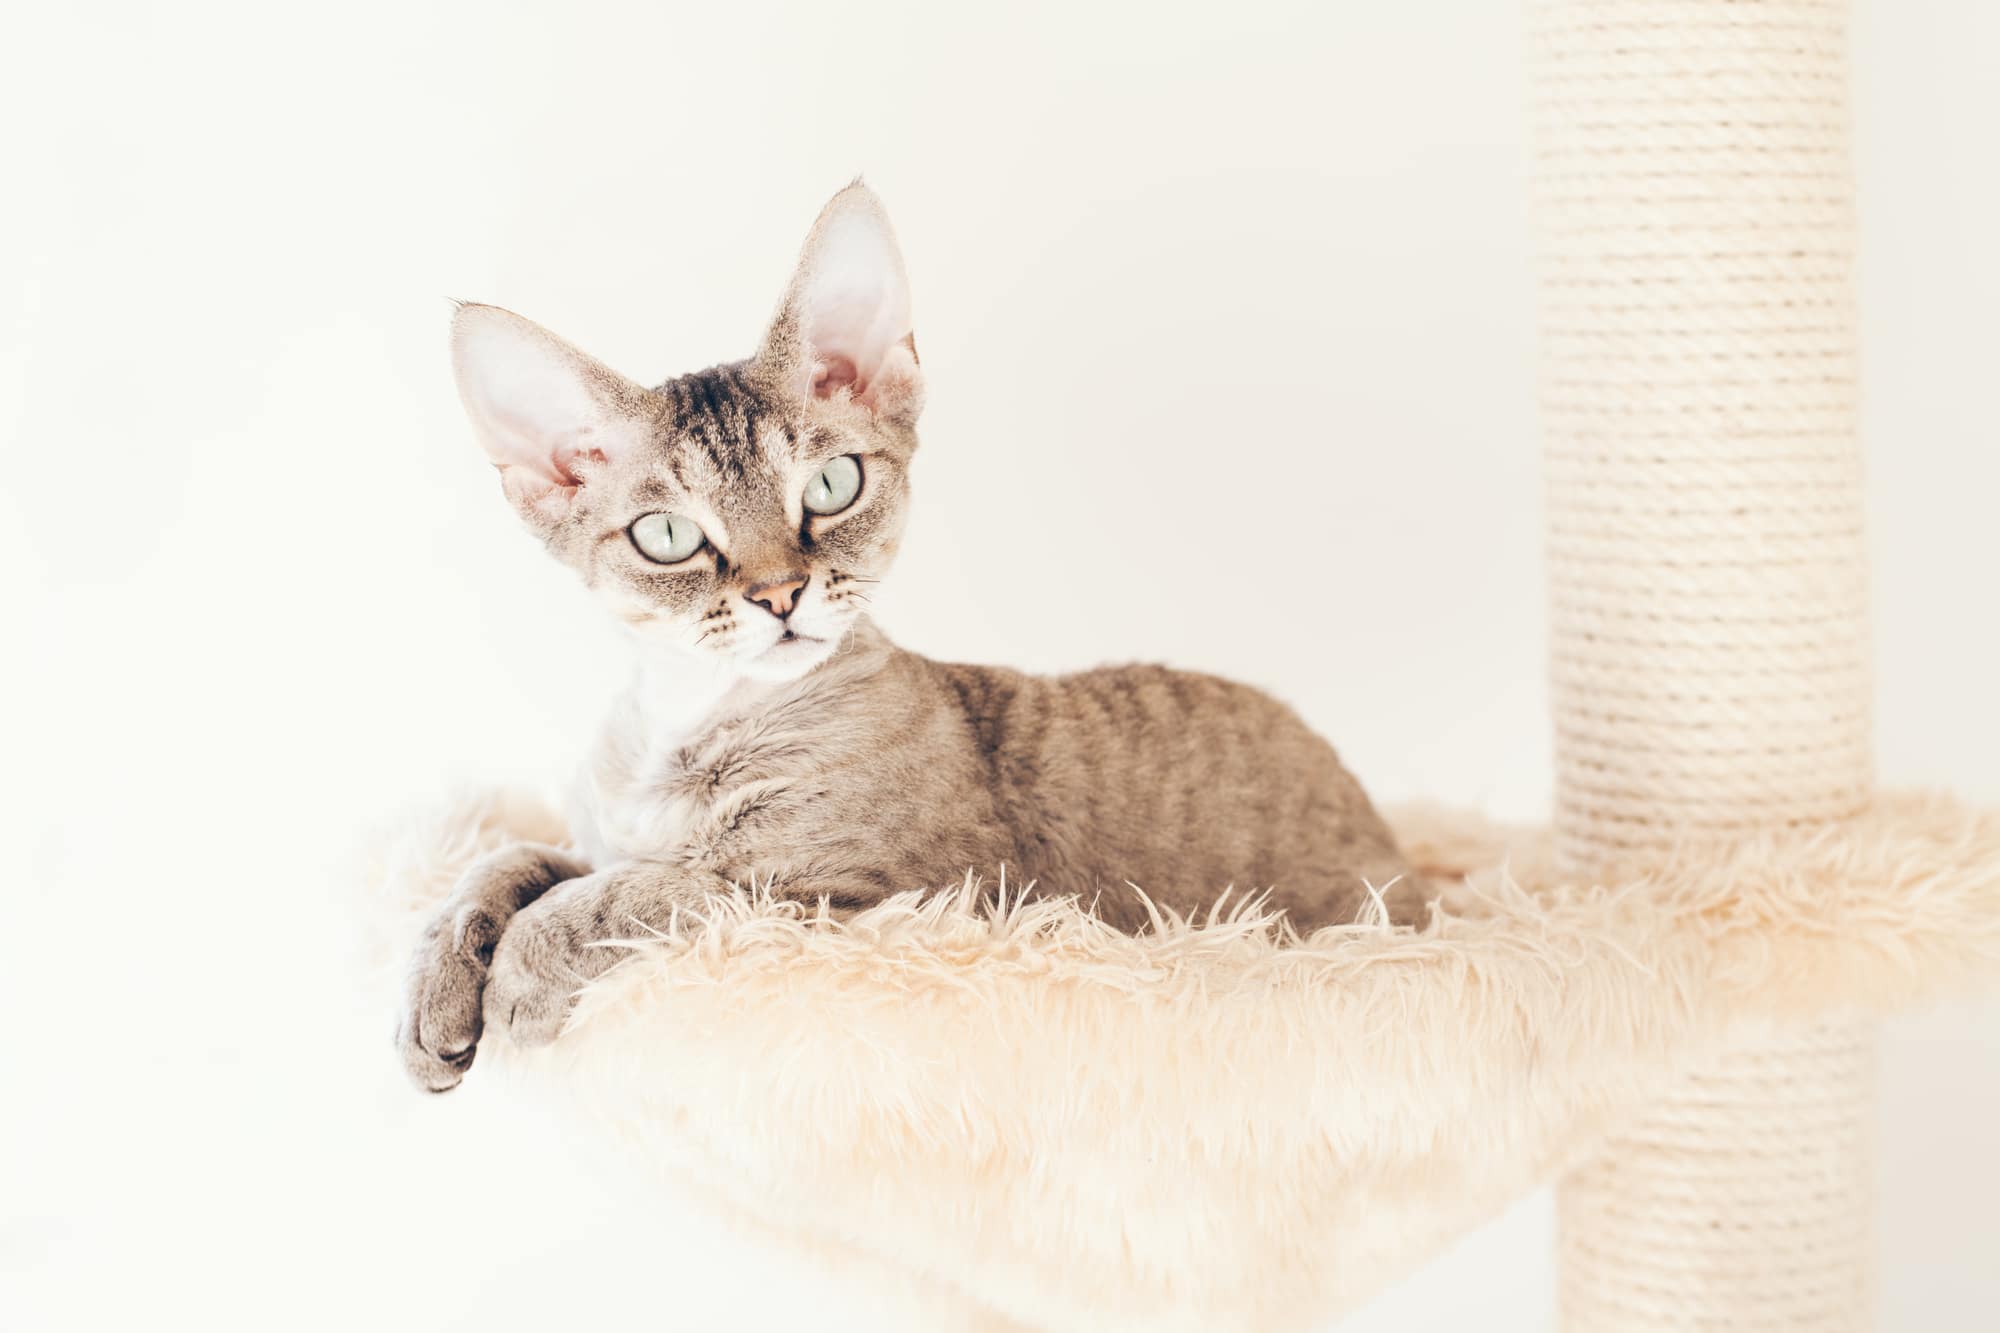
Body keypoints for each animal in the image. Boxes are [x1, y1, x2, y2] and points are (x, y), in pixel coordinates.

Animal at [394, 179, 1424, 1088]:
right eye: (669, 536)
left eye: (831, 484)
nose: (781, 594)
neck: (681, 726)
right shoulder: (610, 838)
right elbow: (508, 859)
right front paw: (436, 983)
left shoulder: (869, 897)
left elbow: (653, 888)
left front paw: (521, 970)